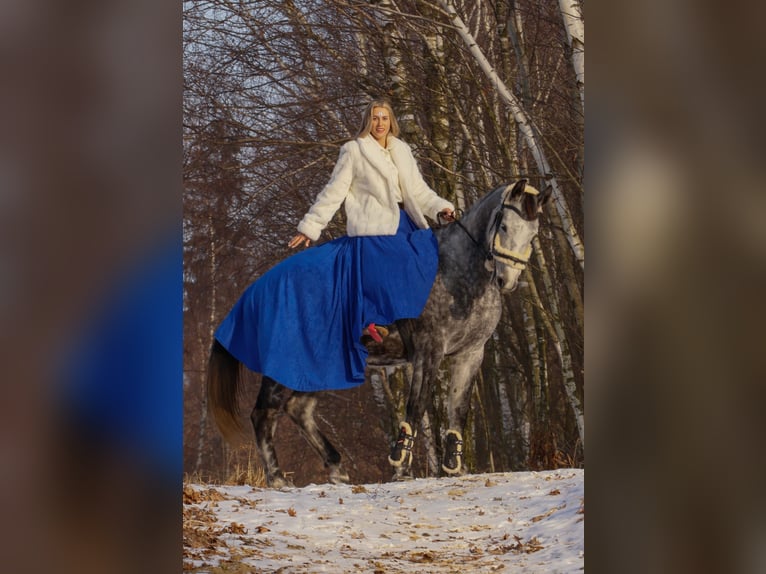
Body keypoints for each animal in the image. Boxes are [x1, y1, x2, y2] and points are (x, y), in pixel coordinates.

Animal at [207, 179, 551, 486]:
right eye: (504, 227)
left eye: (533, 234)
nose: (507, 281)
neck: (457, 273)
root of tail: (254, 293)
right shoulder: (428, 351)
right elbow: (416, 407)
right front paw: (402, 467)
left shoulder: (470, 353)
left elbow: (458, 409)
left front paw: (456, 467)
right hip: (285, 364)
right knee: (264, 413)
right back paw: (278, 478)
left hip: (317, 367)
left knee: (298, 410)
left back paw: (337, 469)